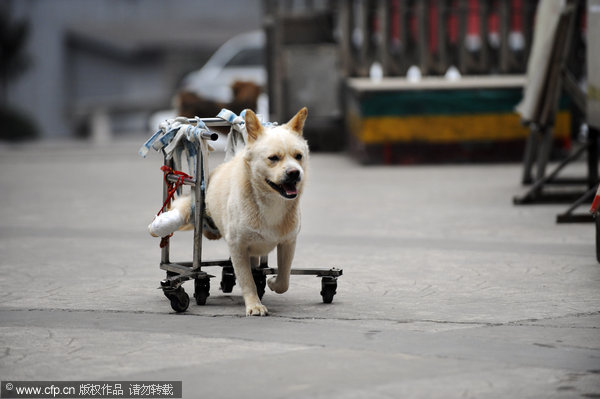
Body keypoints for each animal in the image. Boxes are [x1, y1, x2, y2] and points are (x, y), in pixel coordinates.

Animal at [152, 108, 310, 318]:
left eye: (298, 156)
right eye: (273, 158)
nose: (295, 173)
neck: (270, 201)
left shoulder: (288, 242)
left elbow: (284, 278)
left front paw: (272, 282)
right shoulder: (238, 247)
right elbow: (247, 280)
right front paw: (254, 304)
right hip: (197, 206)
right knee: (181, 209)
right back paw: (161, 224)